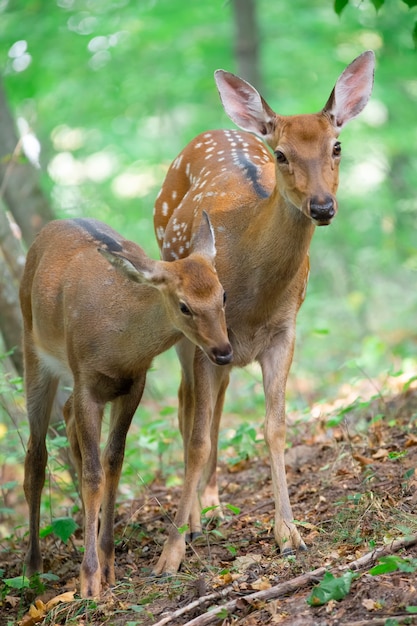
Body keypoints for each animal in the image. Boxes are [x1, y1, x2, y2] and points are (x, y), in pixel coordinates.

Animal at [21, 214, 232, 596]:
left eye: (222, 293)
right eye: (184, 306)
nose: (223, 351)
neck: (118, 347)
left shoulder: (135, 384)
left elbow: (113, 462)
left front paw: (107, 564)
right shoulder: (86, 380)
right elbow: (93, 476)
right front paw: (89, 581)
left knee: (67, 418)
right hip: (34, 351)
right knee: (35, 458)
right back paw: (32, 570)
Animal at [153, 51, 374, 572]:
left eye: (337, 146)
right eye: (281, 155)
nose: (322, 206)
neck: (253, 298)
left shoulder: (282, 333)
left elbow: (275, 428)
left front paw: (289, 533)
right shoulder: (204, 331)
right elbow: (196, 439)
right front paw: (170, 554)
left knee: (214, 406)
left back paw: (213, 504)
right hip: (185, 328)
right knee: (186, 407)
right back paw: (195, 521)